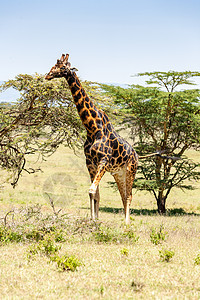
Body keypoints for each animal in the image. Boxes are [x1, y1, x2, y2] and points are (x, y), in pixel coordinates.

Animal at [45, 54, 138, 224]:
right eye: (53, 65)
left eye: (62, 67)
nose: (47, 75)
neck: (93, 128)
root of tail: (136, 155)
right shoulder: (90, 162)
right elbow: (95, 194)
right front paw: (94, 220)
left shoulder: (103, 161)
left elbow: (91, 190)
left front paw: (94, 220)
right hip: (118, 173)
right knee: (123, 196)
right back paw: (124, 221)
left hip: (130, 170)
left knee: (129, 196)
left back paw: (126, 224)